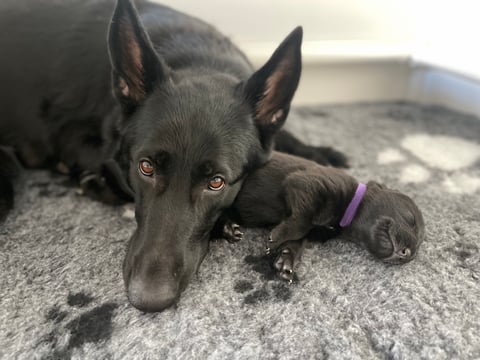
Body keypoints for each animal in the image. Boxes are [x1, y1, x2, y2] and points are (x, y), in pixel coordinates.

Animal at [0, 0, 344, 310]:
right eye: (146, 167)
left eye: (216, 182)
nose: (148, 299)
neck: (198, 58)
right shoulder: (79, 141)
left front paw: (318, 153)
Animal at [225, 152, 424, 282]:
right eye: (411, 219)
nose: (407, 255)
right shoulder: (306, 184)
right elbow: (302, 224)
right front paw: (277, 238)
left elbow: (300, 238)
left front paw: (287, 259)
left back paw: (229, 229)